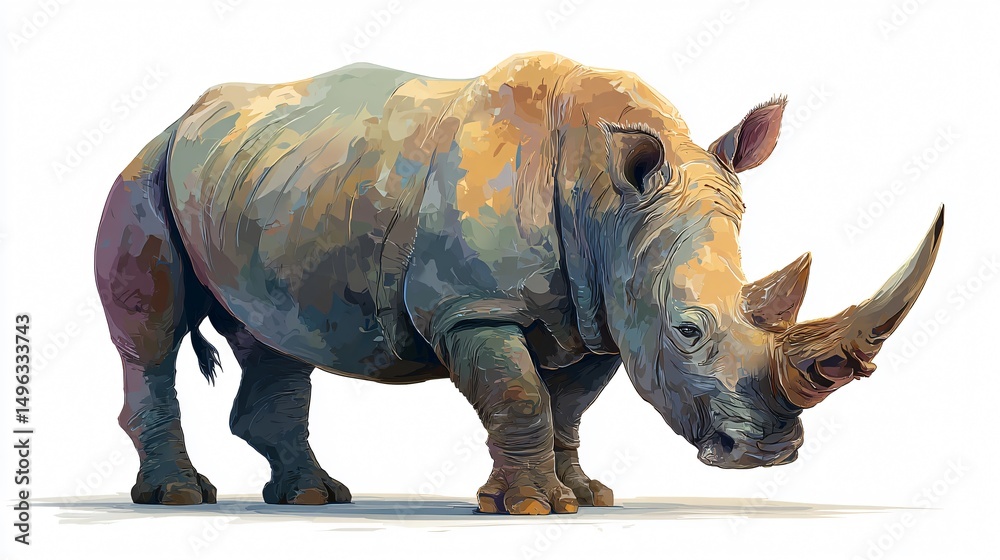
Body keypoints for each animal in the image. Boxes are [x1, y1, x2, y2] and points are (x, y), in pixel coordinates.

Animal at [94, 52, 943, 514]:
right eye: (689, 330)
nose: (767, 453)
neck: (610, 206)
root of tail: (184, 118)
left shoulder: (604, 314)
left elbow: (569, 405)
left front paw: (584, 496)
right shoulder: (472, 307)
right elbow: (519, 394)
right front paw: (530, 508)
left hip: (264, 185)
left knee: (271, 333)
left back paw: (310, 497)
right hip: (146, 168)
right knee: (153, 336)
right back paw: (180, 496)